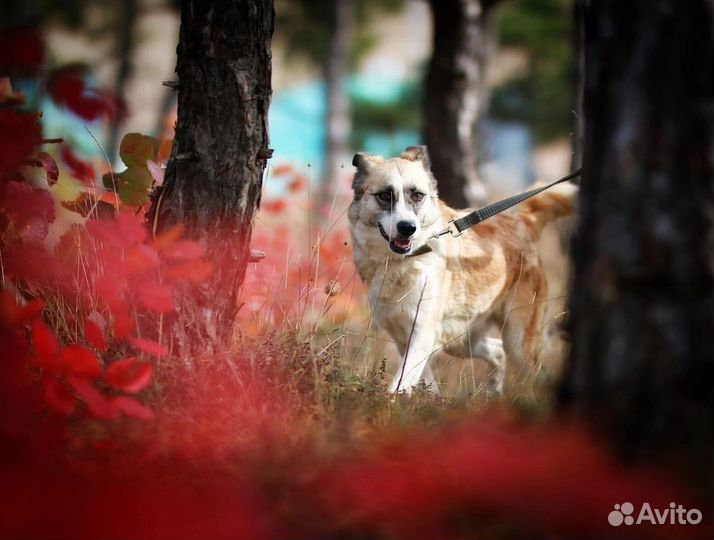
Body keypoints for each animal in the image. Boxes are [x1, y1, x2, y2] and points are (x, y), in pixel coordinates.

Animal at [348, 146, 576, 394]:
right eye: (385, 195)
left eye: (417, 195)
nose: (408, 228)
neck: (402, 263)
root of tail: (519, 221)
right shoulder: (403, 339)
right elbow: (420, 382)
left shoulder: (423, 335)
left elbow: (402, 383)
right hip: (461, 340)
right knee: (497, 351)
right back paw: (494, 394)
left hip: (517, 342)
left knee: (533, 371)